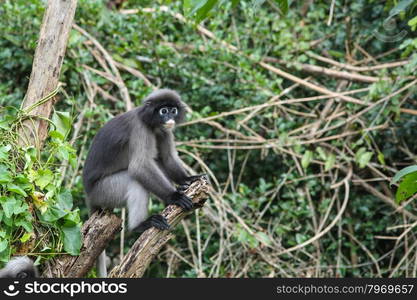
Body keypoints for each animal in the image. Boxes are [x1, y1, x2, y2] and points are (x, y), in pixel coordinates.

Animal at [81, 89, 203, 276]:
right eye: (163, 111)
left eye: (172, 110)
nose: (169, 118)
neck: (150, 123)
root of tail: (88, 195)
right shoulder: (140, 129)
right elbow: (139, 167)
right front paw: (174, 197)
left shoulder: (163, 130)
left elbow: (167, 158)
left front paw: (187, 180)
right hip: (105, 191)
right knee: (135, 181)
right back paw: (139, 225)